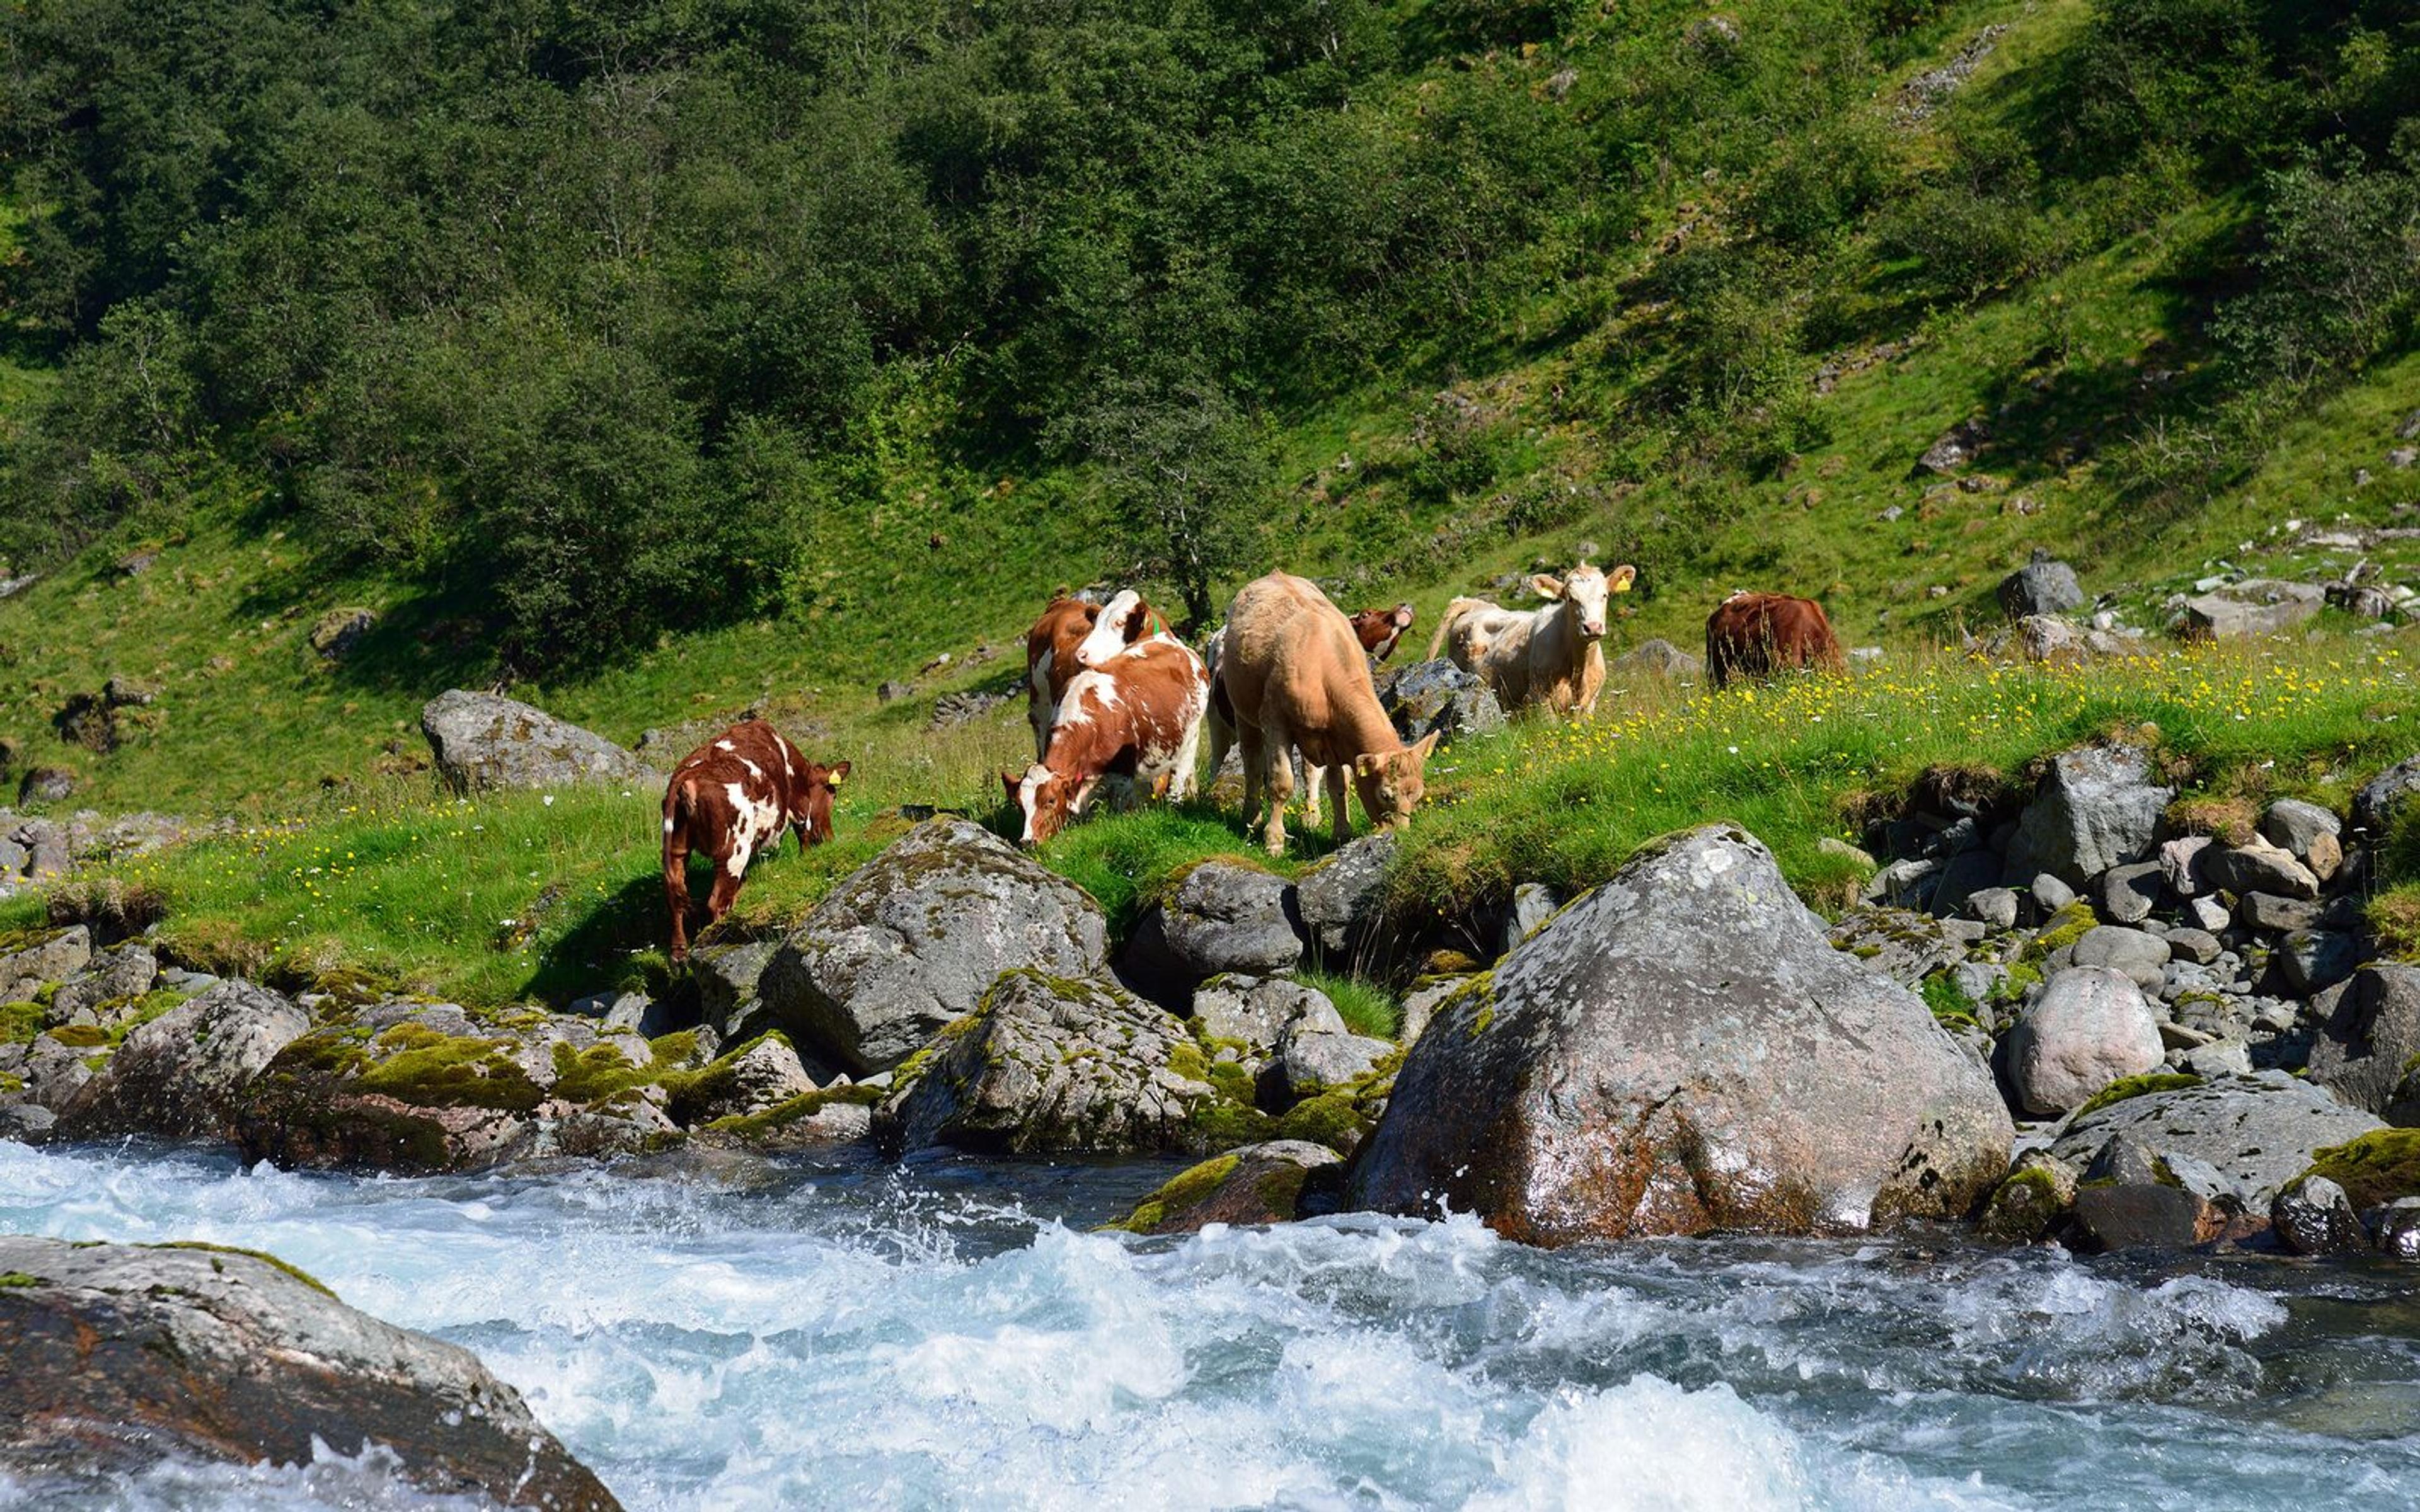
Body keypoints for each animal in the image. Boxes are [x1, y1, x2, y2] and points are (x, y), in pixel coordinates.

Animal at [662, 720, 849, 962]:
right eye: (832, 794)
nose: (829, 837)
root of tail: (686, 777)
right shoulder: (800, 807)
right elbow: (804, 835)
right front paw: (807, 858)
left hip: (676, 848)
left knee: (675, 896)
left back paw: (679, 956)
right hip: (733, 849)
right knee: (716, 901)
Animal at [1003, 637, 1209, 845]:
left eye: (1050, 800)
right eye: (1020, 804)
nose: (1027, 841)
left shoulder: (1123, 775)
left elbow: (1120, 809)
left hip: (1191, 737)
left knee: (1180, 775)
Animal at [1219, 571, 1439, 856]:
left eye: (1418, 795)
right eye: (1385, 795)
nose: (1399, 834)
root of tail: (1275, 574)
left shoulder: (1337, 738)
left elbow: (1339, 785)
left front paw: (1342, 834)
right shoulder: (1276, 723)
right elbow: (1281, 784)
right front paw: (1274, 840)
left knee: (1310, 771)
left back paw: (1310, 816)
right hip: (1244, 712)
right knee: (1252, 763)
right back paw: (1251, 817)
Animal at [1428, 563, 1635, 718]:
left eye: (1604, 595)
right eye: (1571, 599)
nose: (1592, 627)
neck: (1578, 668)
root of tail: (1478, 605)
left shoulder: (1590, 700)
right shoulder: (1539, 698)